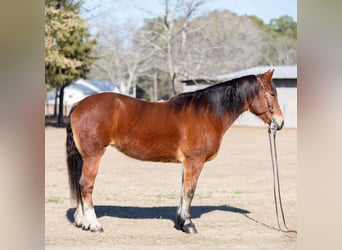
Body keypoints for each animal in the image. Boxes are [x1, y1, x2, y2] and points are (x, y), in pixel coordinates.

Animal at [66, 69, 284, 233]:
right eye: (272, 94)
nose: (280, 123)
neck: (207, 113)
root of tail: (79, 104)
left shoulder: (187, 163)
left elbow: (182, 190)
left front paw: (180, 222)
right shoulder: (195, 161)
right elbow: (190, 191)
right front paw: (188, 224)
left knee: (80, 184)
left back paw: (82, 221)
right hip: (93, 156)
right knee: (86, 185)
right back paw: (94, 224)